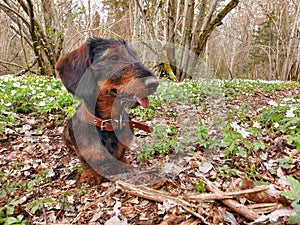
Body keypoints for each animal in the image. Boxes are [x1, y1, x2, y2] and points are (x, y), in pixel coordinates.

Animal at [56, 37, 159, 185]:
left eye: (135, 55)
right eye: (114, 57)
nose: (154, 83)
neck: (107, 123)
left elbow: (121, 153)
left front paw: (123, 161)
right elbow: (85, 161)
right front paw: (90, 176)